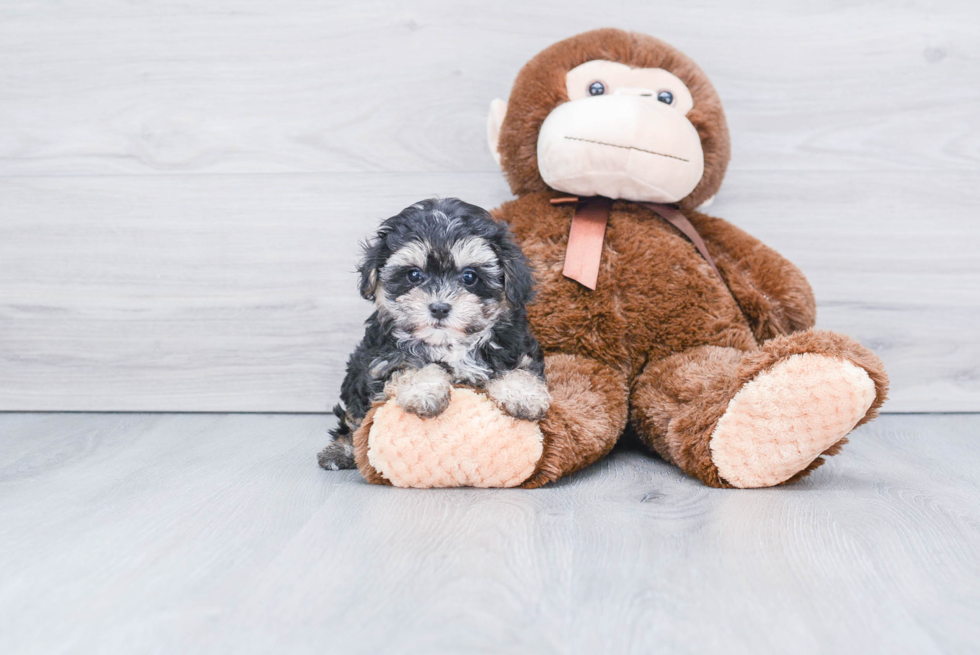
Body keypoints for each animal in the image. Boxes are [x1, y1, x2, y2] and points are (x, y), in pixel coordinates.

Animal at [320, 196, 552, 472]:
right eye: (414, 275)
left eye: (469, 276)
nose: (439, 308)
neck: (449, 344)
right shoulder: (381, 361)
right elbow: (411, 366)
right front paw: (423, 392)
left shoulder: (515, 345)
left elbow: (517, 367)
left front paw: (524, 396)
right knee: (351, 418)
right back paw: (340, 451)